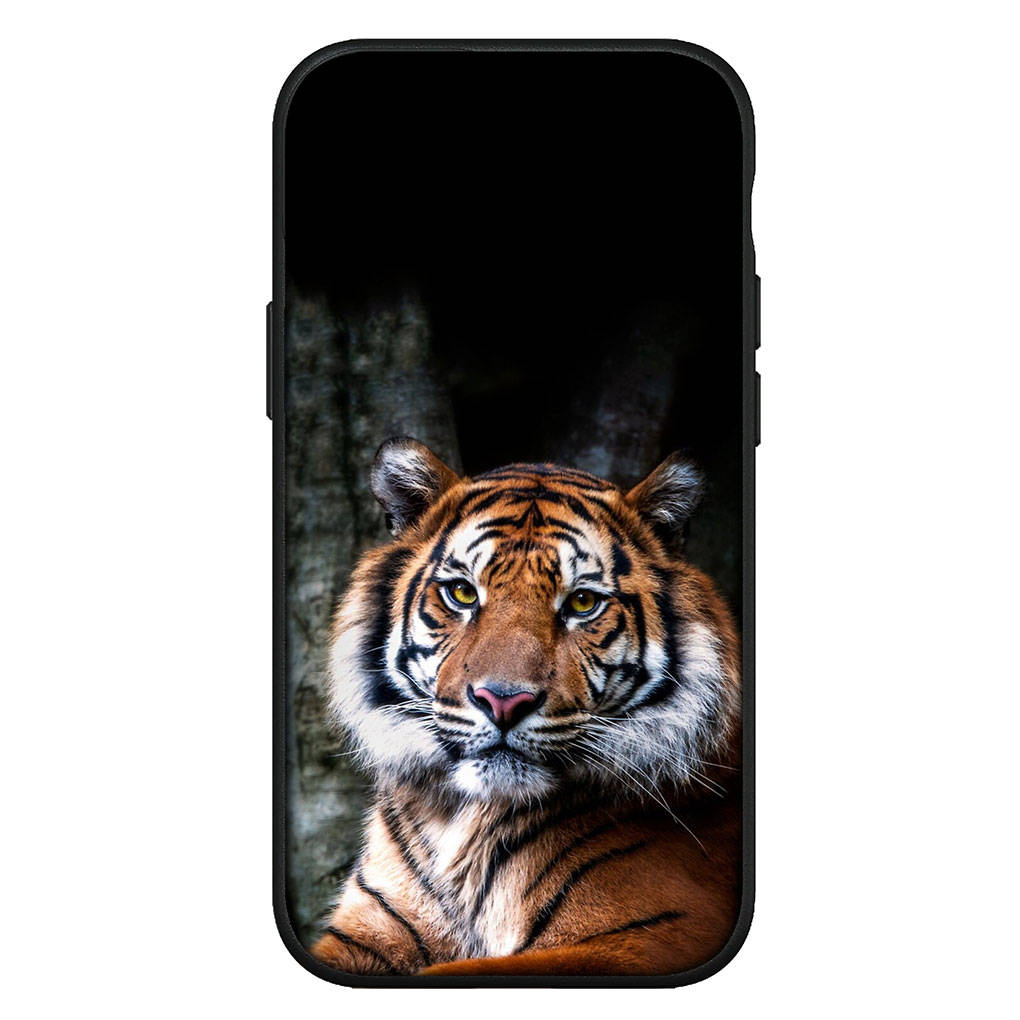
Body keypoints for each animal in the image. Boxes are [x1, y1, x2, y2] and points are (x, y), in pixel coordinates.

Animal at [310, 437, 742, 977]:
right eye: (462, 592)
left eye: (582, 603)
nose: (503, 700)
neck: (463, 825)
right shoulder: (368, 931)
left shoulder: (652, 936)